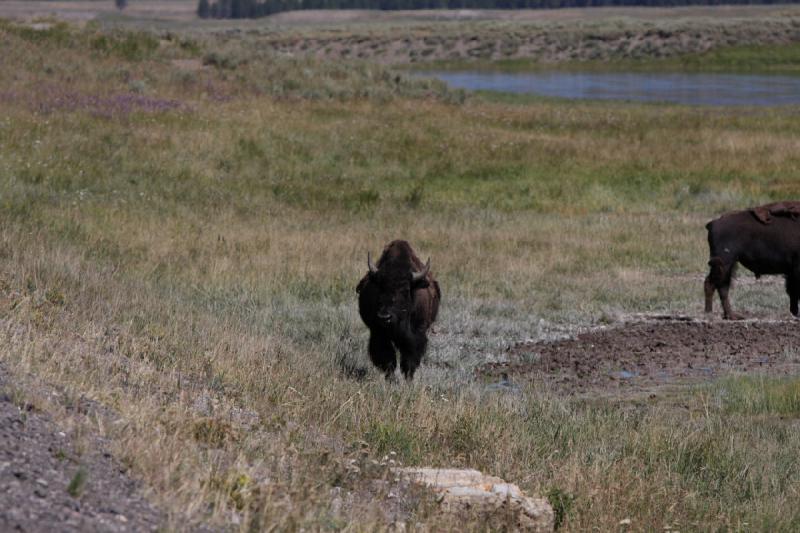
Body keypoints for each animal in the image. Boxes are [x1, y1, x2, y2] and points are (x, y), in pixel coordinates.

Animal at [358, 239, 444, 380]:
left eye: (405, 290)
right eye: (380, 287)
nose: (385, 317)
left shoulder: (417, 334)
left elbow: (409, 360)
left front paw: (408, 379)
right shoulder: (377, 333)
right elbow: (387, 359)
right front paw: (391, 379)